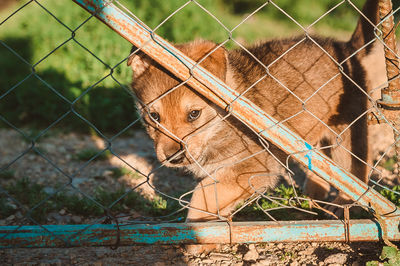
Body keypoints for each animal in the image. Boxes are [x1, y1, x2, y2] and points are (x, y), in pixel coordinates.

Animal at [128, 0, 382, 220]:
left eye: (194, 114)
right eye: (153, 116)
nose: (173, 158)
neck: (221, 123)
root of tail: (347, 47)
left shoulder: (252, 168)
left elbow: (201, 197)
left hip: (346, 137)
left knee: (356, 174)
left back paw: (342, 205)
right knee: (322, 171)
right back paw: (312, 200)